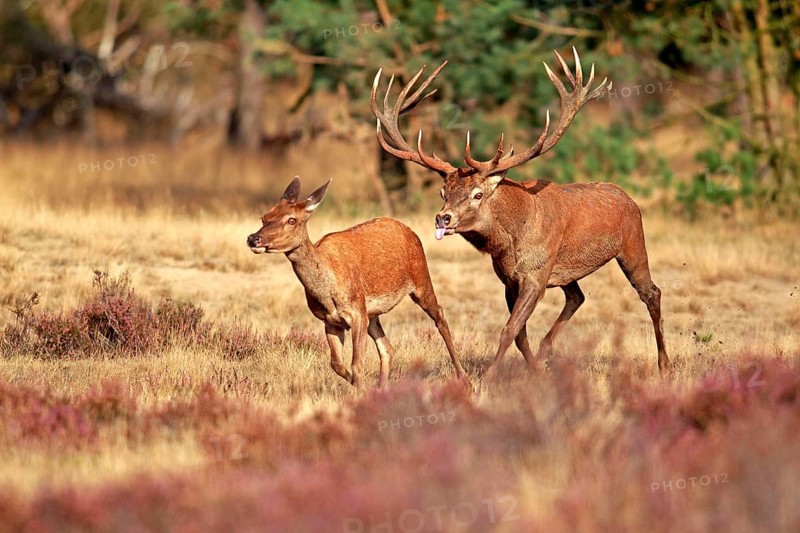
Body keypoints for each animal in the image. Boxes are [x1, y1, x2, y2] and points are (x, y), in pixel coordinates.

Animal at [246, 177, 467, 388]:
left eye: (291, 220)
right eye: (264, 217)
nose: (253, 238)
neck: (327, 293)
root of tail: (408, 229)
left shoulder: (356, 312)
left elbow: (357, 364)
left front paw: (359, 391)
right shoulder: (330, 321)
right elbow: (336, 364)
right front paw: (359, 387)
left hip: (420, 278)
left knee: (439, 315)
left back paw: (464, 378)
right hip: (373, 313)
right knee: (387, 348)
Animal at [371, 47, 670, 377]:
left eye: (477, 194)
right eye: (443, 193)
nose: (443, 218)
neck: (511, 240)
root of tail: (628, 198)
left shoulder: (535, 275)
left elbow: (509, 329)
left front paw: (490, 376)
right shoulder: (509, 279)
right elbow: (519, 333)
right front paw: (535, 372)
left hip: (632, 245)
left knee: (652, 292)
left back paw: (664, 365)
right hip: (565, 269)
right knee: (577, 296)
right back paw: (546, 353)